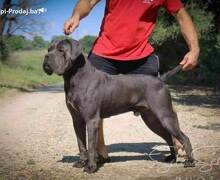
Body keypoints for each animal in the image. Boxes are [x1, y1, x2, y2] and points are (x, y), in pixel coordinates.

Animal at [42, 39, 194, 173]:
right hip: (151, 118)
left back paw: (190, 162)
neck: (74, 77)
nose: (46, 57)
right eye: (49, 49)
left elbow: (90, 145)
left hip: (164, 115)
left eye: (61, 50)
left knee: (184, 138)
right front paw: (81, 163)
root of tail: (160, 79)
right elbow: (81, 144)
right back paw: (172, 158)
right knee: (169, 137)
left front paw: (91, 167)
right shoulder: (77, 120)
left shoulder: (91, 120)